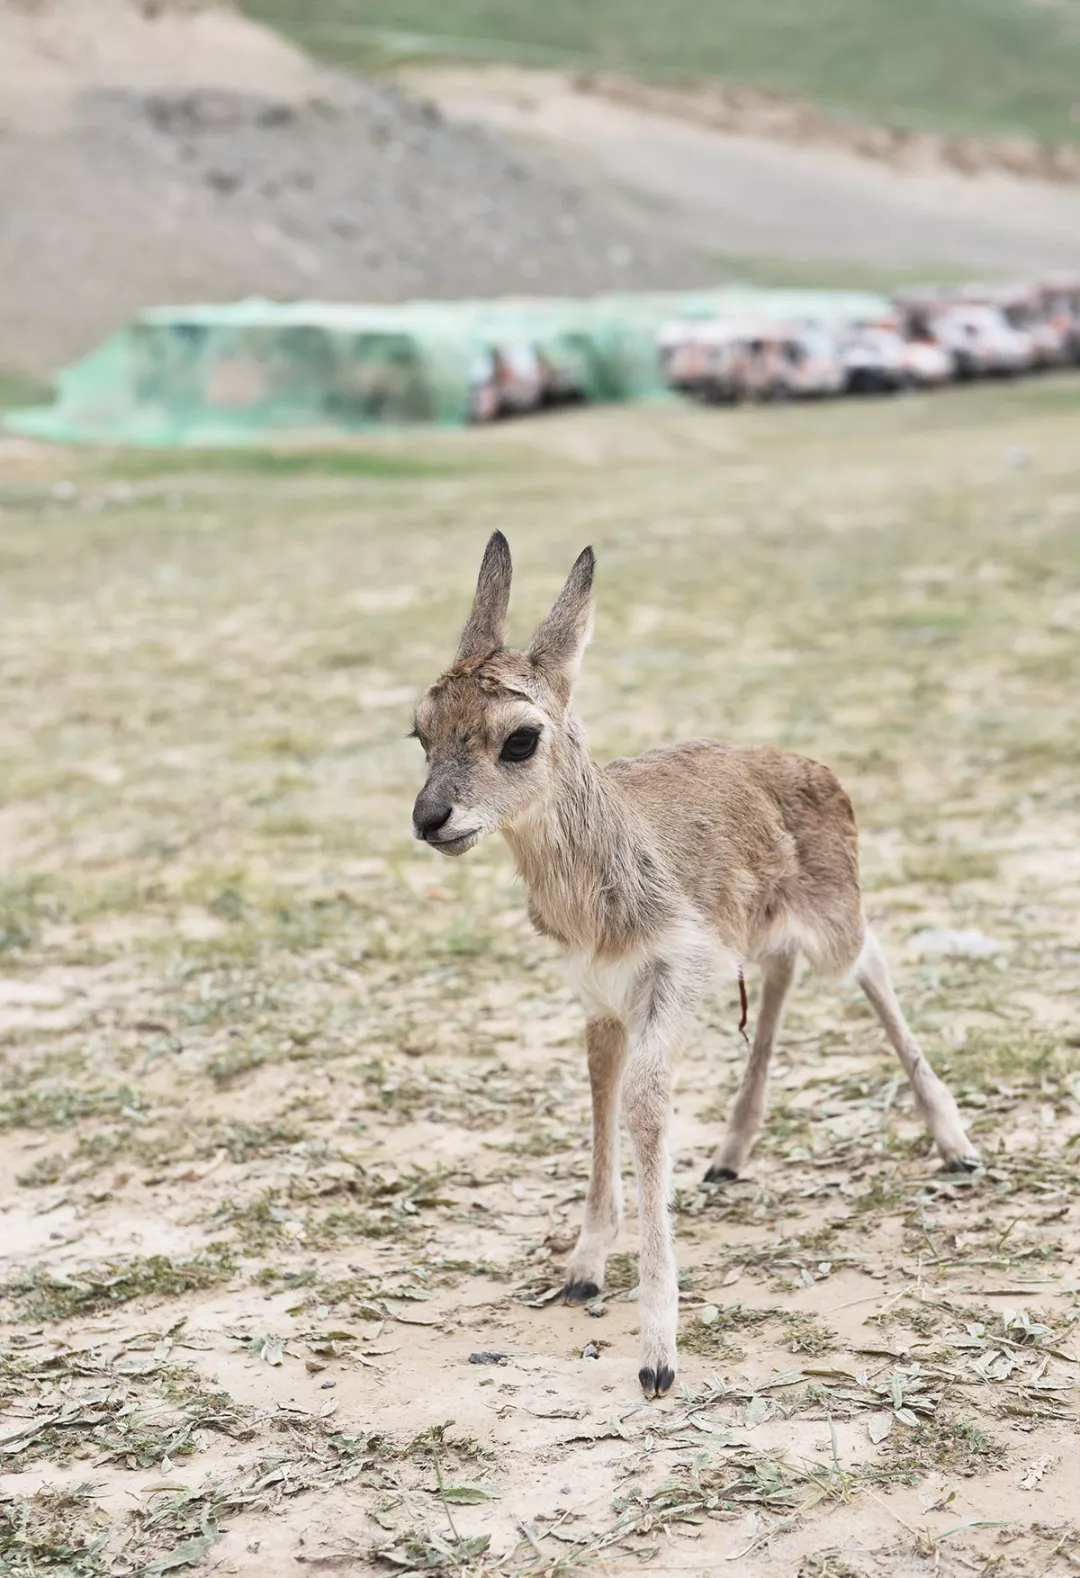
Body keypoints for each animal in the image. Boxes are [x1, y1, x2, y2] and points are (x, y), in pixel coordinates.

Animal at [410, 536, 985, 1401]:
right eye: (419, 731)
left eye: (519, 738)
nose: (429, 818)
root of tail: (821, 769)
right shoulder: (600, 997)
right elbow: (600, 1092)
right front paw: (582, 1269)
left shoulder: (672, 979)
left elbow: (646, 1107)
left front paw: (657, 1354)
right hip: (763, 935)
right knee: (780, 975)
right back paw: (729, 1155)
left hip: (834, 919)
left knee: (871, 959)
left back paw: (956, 1144)